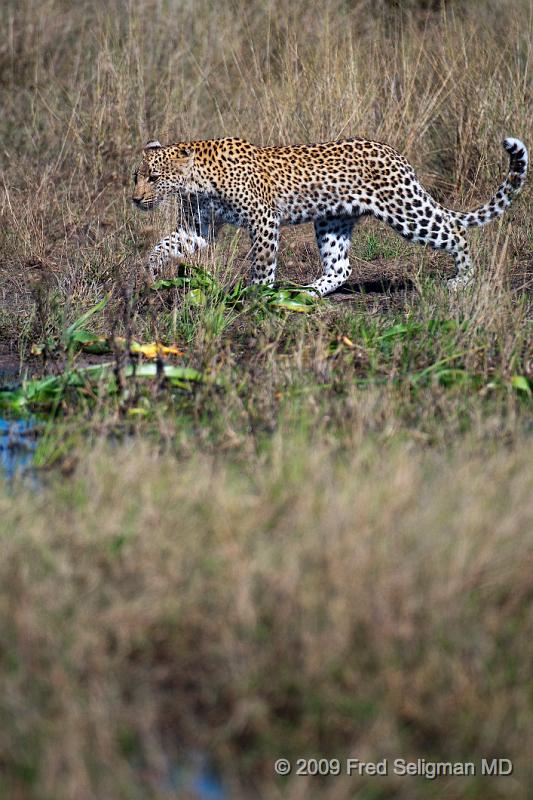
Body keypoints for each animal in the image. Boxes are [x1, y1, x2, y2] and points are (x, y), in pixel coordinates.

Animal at [131, 134, 524, 296]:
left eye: (154, 177)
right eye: (136, 176)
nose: (135, 199)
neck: (196, 182)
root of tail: (398, 156)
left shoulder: (264, 218)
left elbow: (263, 262)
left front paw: (258, 295)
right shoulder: (198, 228)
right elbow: (165, 245)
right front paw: (150, 273)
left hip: (406, 212)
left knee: (456, 232)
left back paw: (462, 280)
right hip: (331, 221)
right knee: (341, 267)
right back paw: (309, 293)